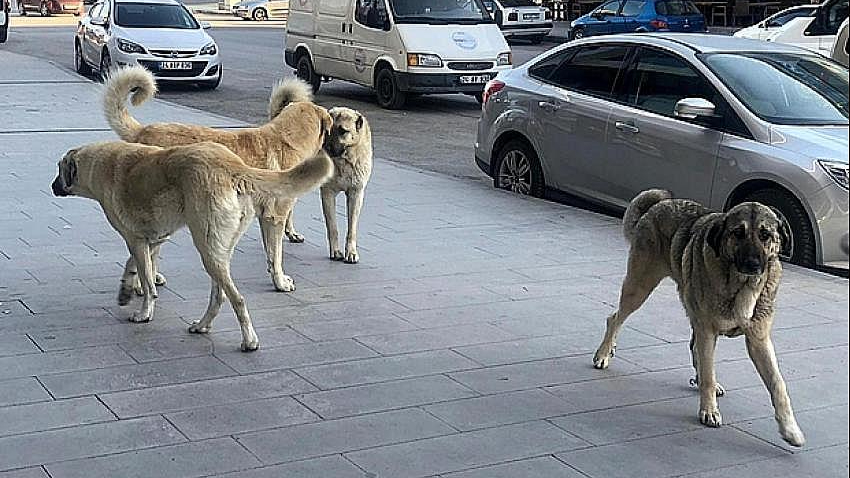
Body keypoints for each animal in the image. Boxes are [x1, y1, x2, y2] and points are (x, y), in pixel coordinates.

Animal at [50, 140, 332, 350]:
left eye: (58, 170)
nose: (52, 187)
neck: (98, 165)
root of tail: (233, 166)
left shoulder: (136, 240)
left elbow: (147, 281)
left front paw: (144, 312)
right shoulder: (153, 238)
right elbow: (138, 267)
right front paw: (126, 290)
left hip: (207, 249)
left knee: (237, 299)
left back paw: (249, 341)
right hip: (217, 251)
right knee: (219, 296)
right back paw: (202, 325)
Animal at [102, 66, 328, 292]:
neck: (285, 139)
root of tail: (142, 131)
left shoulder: (266, 217)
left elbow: (271, 253)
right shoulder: (275, 218)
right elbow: (276, 254)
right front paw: (280, 282)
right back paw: (143, 284)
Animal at [318, 107, 372, 264]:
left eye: (343, 131)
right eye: (328, 130)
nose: (326, 148)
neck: (344, 161)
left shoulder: (356, 193)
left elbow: (352, 229)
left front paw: (351, 253)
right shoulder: (327, 193)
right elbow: (332, 227)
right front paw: (336, 252)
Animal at [588, 189, 800, 446]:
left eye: (765, 234)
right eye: (737, 233)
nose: (753, 264)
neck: (741, 285)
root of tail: (659, 204)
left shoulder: (758, 340)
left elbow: (778, 384)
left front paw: (790, 429)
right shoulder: (707, 330)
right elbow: (708, 373)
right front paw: (709, 410)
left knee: (693, 346)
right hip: (639, 287)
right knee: (615, 318)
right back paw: (603, 353)